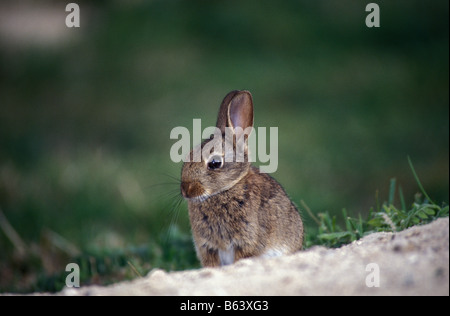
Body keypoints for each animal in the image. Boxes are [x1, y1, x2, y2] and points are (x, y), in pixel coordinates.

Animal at [179, 89, 302, 266]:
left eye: (215, 163)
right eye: (188, 156)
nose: (186, 189)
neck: (225, 190)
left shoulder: (247, 241)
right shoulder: (207, 247)